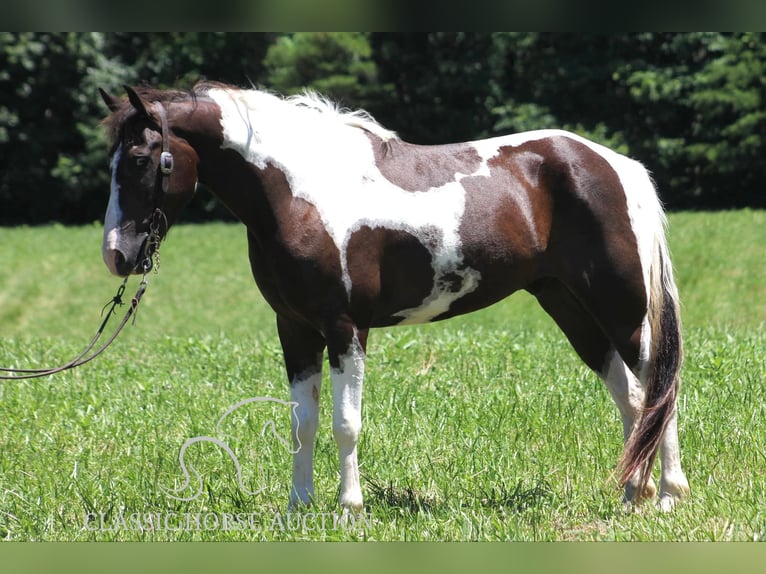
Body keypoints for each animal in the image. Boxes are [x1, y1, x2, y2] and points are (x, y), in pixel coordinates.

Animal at [99, 81, 692, 512]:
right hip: (570, 307)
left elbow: (346, 423)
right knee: (632, 397)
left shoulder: (345, 327)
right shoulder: (295, 329)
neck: (300, 193)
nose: (116, 255)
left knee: (659, 391)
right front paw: (298, 506)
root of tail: (618, 166)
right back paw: (631, 495)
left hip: (623, 311)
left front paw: (350, 508)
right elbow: (302, 423)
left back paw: (667, 495)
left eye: (141, 160)